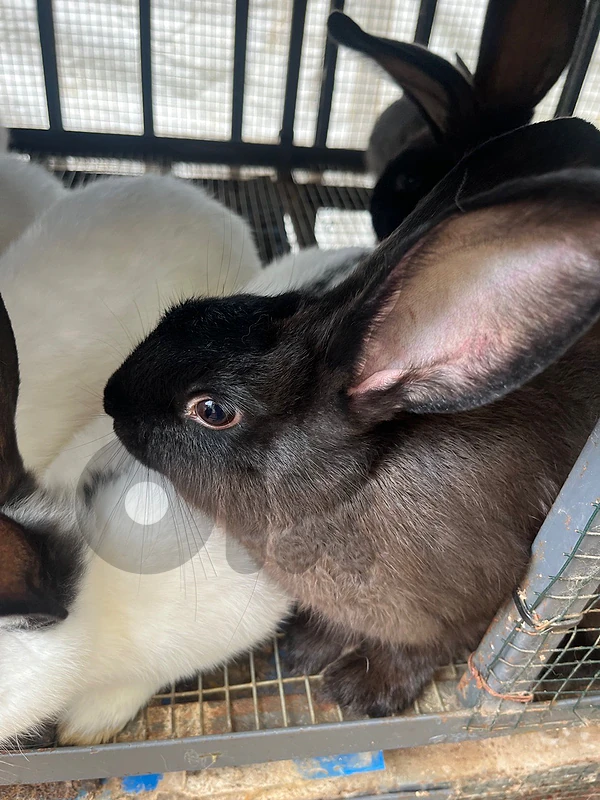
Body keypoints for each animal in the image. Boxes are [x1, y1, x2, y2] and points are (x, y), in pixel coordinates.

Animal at [104, 116, 600, 717]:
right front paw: (301, 651)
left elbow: (423, 650)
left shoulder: (473, 604)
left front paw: (361, 692)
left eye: (213, 411)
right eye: (185, 312)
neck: (345, 490)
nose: (110, 400)